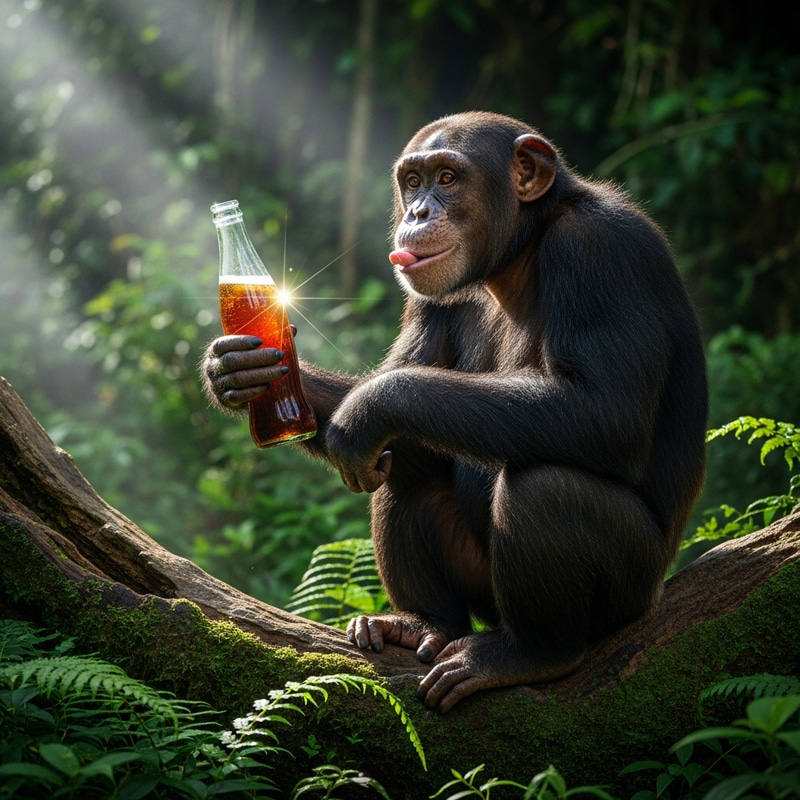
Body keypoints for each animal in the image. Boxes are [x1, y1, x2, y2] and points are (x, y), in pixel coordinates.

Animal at [201, 111, 707, 712]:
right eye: (413, 182)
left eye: (446, 178)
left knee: (544, 487)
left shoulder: (601, 249)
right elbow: (398, 391)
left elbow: (605, 410)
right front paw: (232, 370)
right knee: (404, 470)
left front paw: (370, 407)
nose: (418, 212)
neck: (519, 254)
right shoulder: (426, 295)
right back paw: (421, 624)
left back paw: (533, 654)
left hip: (629, 596)